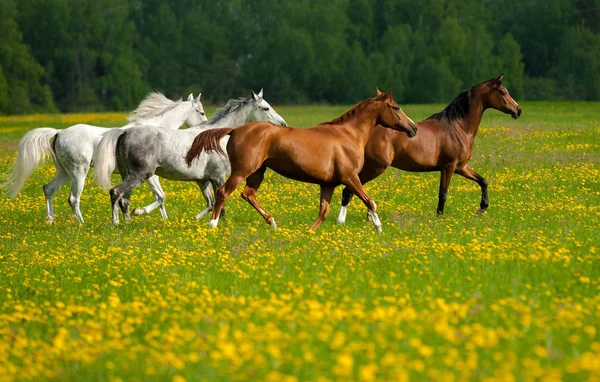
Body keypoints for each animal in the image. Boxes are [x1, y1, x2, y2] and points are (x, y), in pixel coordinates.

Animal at [4, 93, 207, 224]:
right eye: (201, 112)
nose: (206, 127)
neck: (155, 131)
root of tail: (59, 133)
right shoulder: (150, 174)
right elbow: (161, 196)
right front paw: (138, 213)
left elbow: (159, 197)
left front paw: (163, 220)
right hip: (78, 173)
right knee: (73, 198)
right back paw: (82, 224)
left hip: (64, 173)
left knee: (48, 189)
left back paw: (50, 219)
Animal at [95, 89, 288, 224]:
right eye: (265, 107)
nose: (283, 124)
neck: (220, 137)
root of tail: (124, 133)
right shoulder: (218, 177)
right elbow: (220, 204)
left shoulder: (202, 180)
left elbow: (211, 203)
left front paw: (196, 219)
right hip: (140, 175)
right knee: (116, 192)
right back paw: (118, 223)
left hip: (130, 175)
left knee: (125, 199)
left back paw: (129, 221)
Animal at [186, 89, 418, 233]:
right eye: (396, 107)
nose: (413, 128)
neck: (349, 135)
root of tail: (235, 130)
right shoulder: (350, 178)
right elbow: (370, 201)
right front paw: (378, 227)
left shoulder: (328, 184)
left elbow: (323, 212)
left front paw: (309, 233)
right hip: (242, 171)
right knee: (224, 193)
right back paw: (212, 225)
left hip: (257, 172)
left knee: (248, 194)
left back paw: (272, 223)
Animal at [336, 74, 524, 222]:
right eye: (503, 92)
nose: (518, 110)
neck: (458, 127)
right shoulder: (448, 167)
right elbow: (443, 193)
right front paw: (439, 217)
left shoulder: (460, 167)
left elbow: (483, 181)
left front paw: (481, 208)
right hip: (374, 168)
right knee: (349, 190)